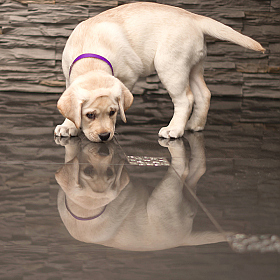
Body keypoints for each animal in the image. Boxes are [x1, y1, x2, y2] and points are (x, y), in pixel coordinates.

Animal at [53, 1, 264, 142]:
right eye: (89, 115)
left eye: (112, 112)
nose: (105, 136)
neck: (91, 56)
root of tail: (194, 18)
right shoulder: (68, 78)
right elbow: (71, 110)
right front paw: (68, 125)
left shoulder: (129, 76)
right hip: (193, 66)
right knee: (204, 94)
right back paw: (195, 125)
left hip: (170, 65)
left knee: (186, 99)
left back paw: (174, 129)